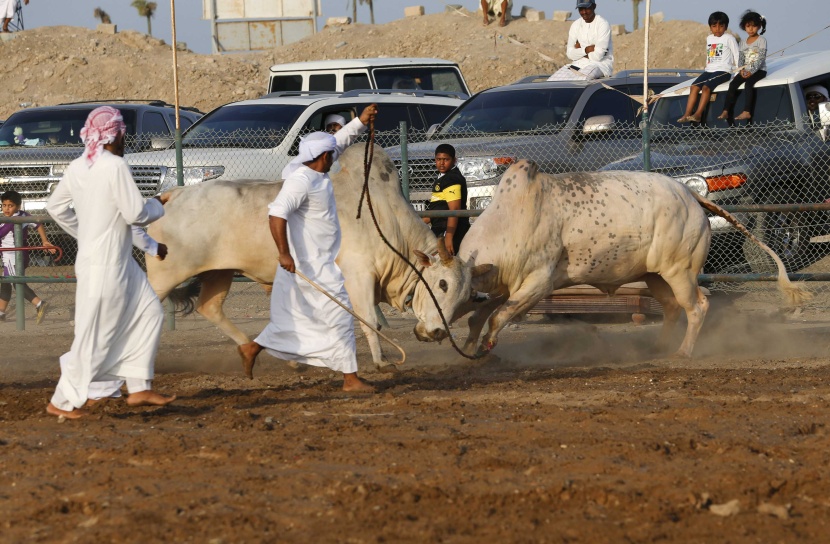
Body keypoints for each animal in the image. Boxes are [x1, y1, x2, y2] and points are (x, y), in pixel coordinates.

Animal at [146, 144, 484, 368]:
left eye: (466, 295)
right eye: (442, 284)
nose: (437, 332)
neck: (387, 220)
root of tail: (171, 195)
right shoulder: (359, 277)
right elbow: (369, 321)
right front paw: (380, 361)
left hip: (219, 271)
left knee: (210, 307)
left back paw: (264, 354)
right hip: (166, 275)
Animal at [452, 160, 808, 356]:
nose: (437, 327)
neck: (511, 220)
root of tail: (690, 195)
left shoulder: (538, 283)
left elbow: (499, 316)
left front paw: (484, 346)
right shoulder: (506, 284)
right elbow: (481, 314)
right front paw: (470, 347)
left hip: (680, 271)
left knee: (696, 307)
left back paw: (683, 351)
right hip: (655, 275)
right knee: (672, 307)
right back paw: (660, 347)